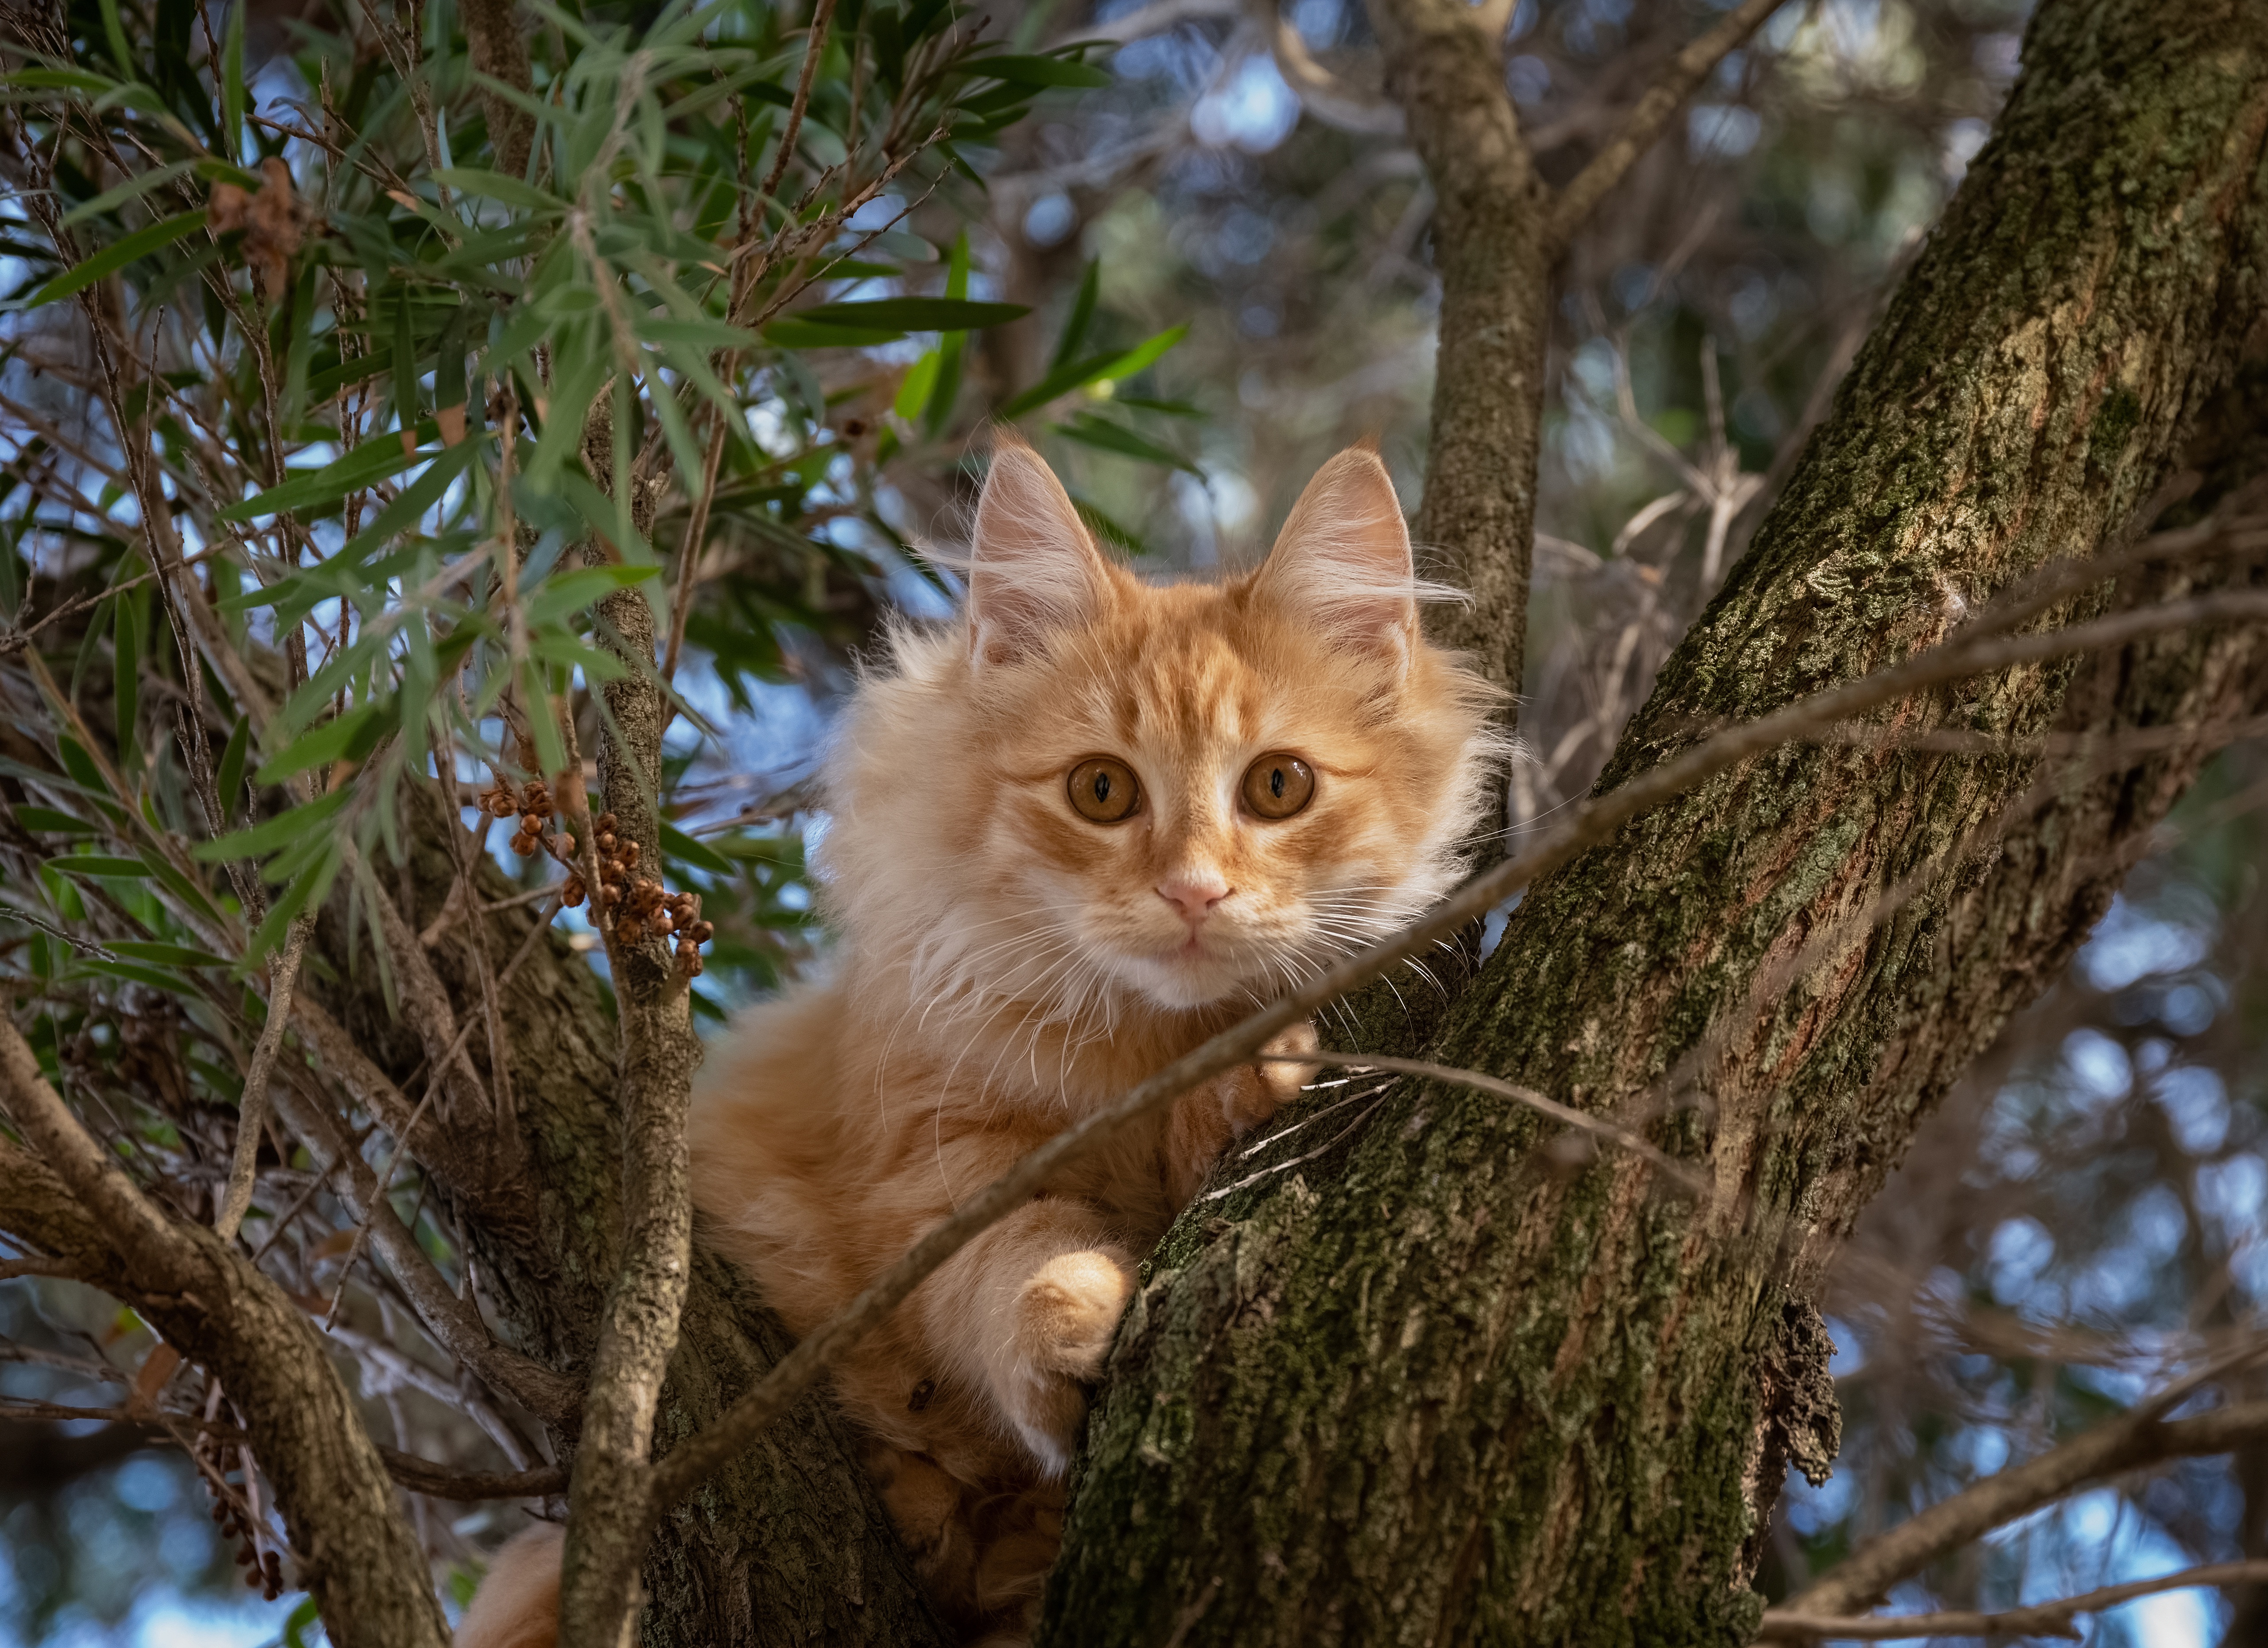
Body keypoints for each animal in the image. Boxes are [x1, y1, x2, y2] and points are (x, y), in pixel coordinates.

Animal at [451, 437, 1497, 1648]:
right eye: (1102, 791)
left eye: (1278, 786)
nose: (1192, 891)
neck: (1153, 1051)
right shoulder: (930, 1174)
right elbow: (1012, 1266)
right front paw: (1071, 1320)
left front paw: (1244, 1082)